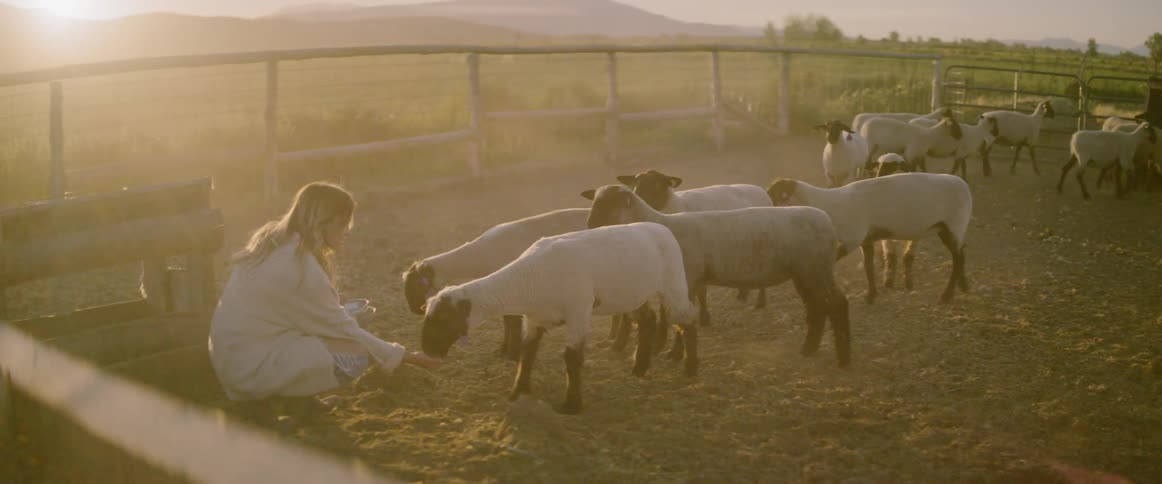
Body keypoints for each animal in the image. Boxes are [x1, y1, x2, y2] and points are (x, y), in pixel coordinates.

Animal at [403, 208, 590, 361]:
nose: (414, 310)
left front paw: (512, 353)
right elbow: (506, 321)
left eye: (415, 285)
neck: (479, 254)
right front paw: (504, 349)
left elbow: (512, 322)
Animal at [419, 222, 699, 415]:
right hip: (630, 294)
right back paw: (639, 368)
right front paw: (518, 392)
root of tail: (659, 227)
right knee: (648, 320)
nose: (427, 350)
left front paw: (571, 405)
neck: (528, 279)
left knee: (687, 320)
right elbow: (527, 353)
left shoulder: (578, 313)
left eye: (443, 319)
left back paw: (690, 368)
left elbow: (572, 358)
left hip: (673, 284)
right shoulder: (534, 319)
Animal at [581, 185, 851, 368]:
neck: (660, 225)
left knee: (837, 304)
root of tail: (827, 221)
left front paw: (675, 354)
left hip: (816, 268)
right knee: (818, 307)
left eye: (610, 203)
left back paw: (843, 357)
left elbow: (680, 318)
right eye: (595, 202)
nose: (589, 225)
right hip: (805, 272)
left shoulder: (687, 280)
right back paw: (809, 348)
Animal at [615, 169, 773, 321]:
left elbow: (701, 290)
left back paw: (760, 301)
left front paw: (704, 317)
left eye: (657, 184)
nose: (636, 198)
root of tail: (758, 188)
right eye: (634, 183)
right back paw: (743, 293)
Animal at [766, 173, 972, 304]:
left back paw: (947, 295)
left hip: (952, 224)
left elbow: (833, 261)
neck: (829, 205)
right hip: (949, 228)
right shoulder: (866, 239)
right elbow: (868, 266)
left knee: (958, 257)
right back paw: (963, 286)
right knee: (961, 255)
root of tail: (963, 185)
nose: (769, 211)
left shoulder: (853, 238)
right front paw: (871, 295)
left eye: (776, 194)